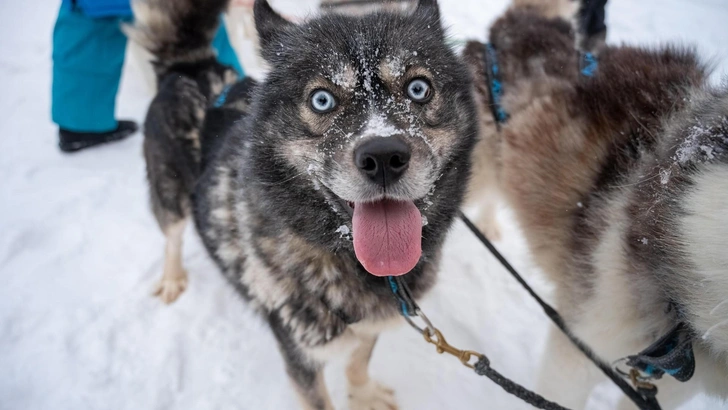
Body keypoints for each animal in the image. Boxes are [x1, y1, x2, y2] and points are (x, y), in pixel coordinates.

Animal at [132, 0, 484, 406]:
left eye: (418, 88)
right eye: (322, 99)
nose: (383, 156)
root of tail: (190, 67)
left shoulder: (374, 322)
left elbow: (359, 359)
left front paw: (363, 395)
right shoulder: (300, 354)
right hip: (170, 197)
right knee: (172, 236)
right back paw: (172, 278)